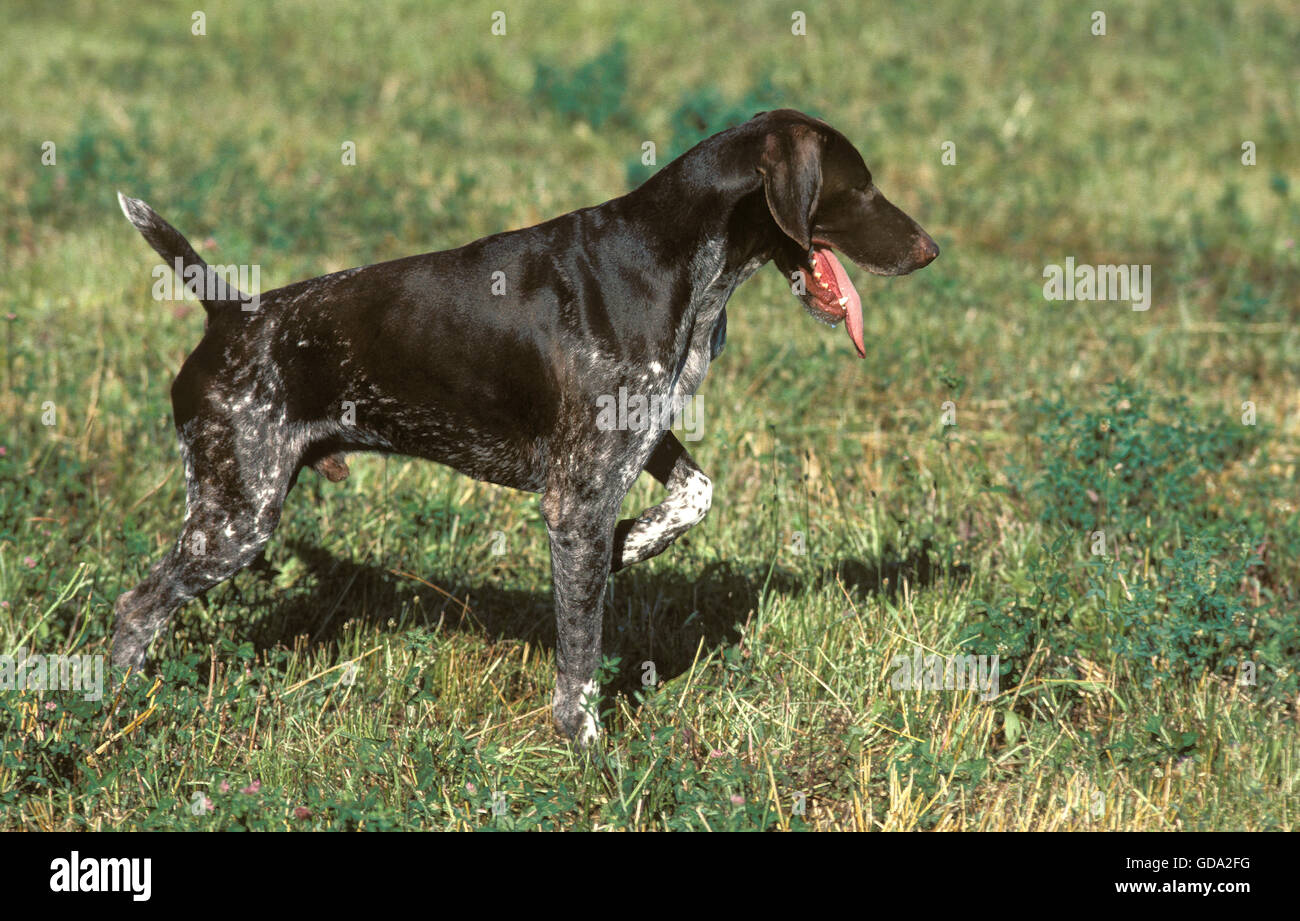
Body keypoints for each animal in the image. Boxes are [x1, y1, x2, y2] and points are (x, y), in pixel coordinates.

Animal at [114, 107, 935, 738]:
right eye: (859, 186)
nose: (931, 250)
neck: (675, 256)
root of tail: (231, 311)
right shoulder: (578, 495)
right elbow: (580, 654)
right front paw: (586, 747)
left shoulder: (632, 440)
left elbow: (694, 496)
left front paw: (630, 543)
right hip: (236, 516)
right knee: (134, 610)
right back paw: (115, 708)